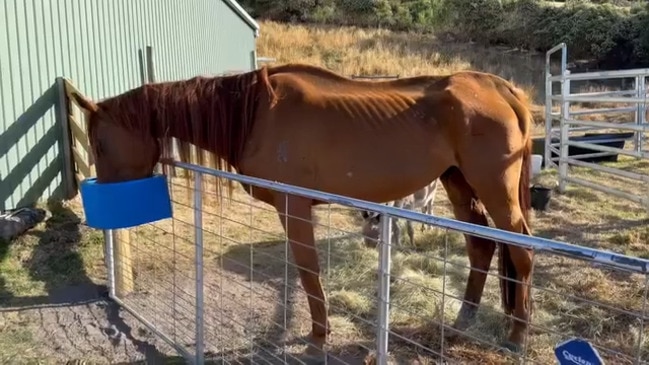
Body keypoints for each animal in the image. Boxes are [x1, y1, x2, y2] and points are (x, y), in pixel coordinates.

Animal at [73, 64, 536, 354]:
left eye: (100, 143)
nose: (103, 208)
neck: (256, 113)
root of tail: (501, 88)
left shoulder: (293, 207)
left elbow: (308, 270)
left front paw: (318, 336)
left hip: (495, 190)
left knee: (522, 251)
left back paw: (517, 334)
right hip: (458, 183)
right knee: (481, 247)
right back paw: (462, 321)